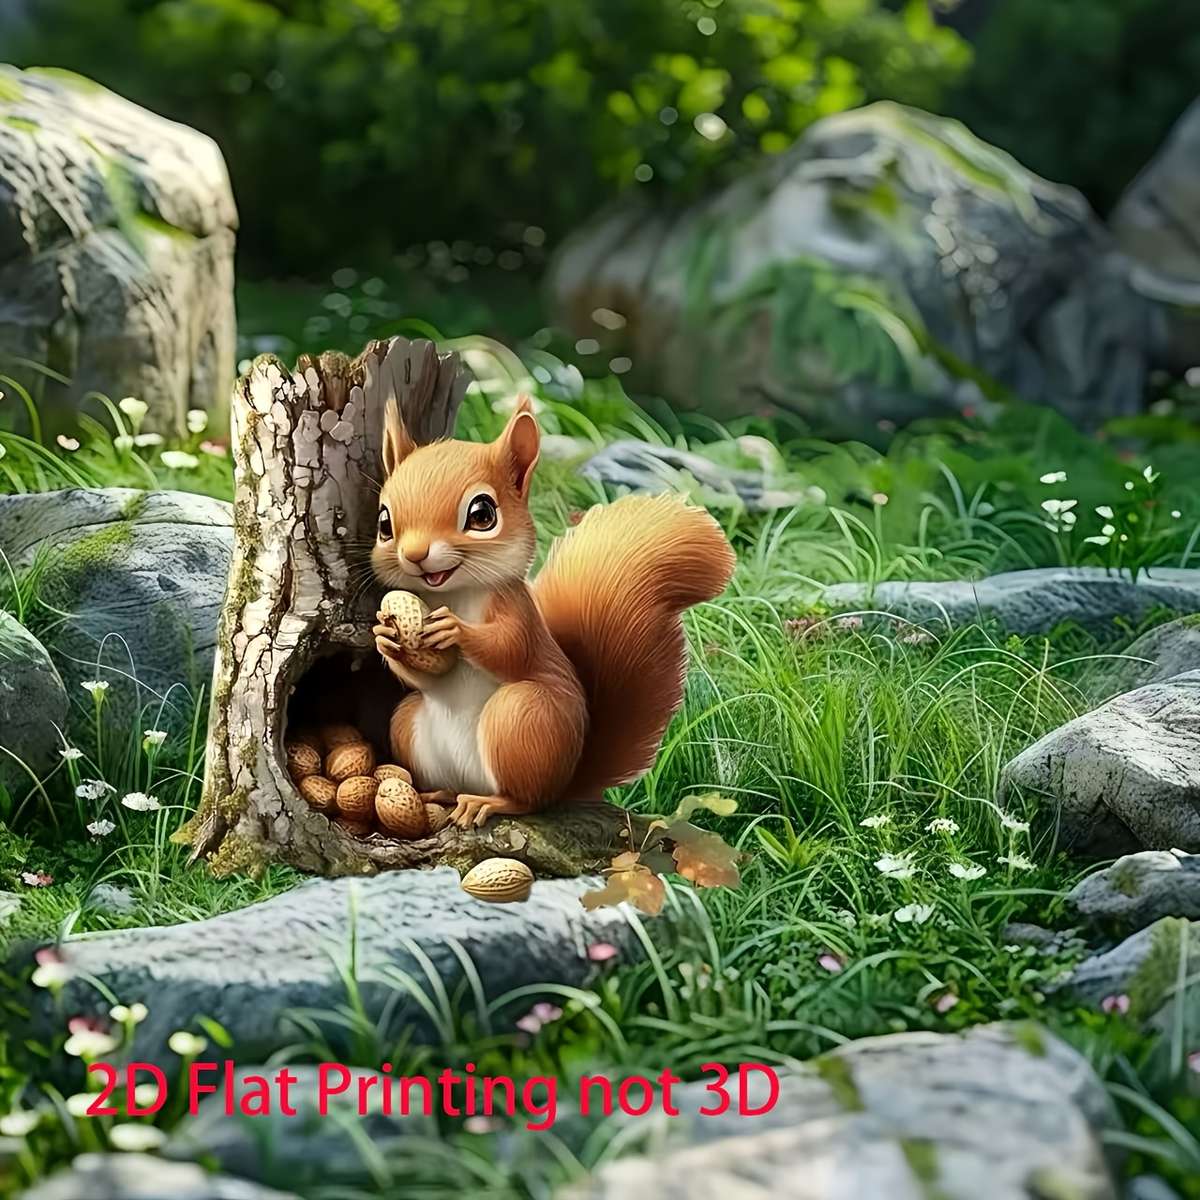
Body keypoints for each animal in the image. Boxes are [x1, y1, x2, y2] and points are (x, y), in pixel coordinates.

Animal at [370, 395, 736, 828]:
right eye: (384, 522)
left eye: (482, 515)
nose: (415, 554)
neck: (455, 592)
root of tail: (565, 783)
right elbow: (429, 673)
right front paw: (385, 637)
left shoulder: (519, 610)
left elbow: (511, 649)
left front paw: (455, 630)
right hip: (407, 723)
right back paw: (439, 794)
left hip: (522, 718)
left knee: (527, 799)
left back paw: (490, 803)